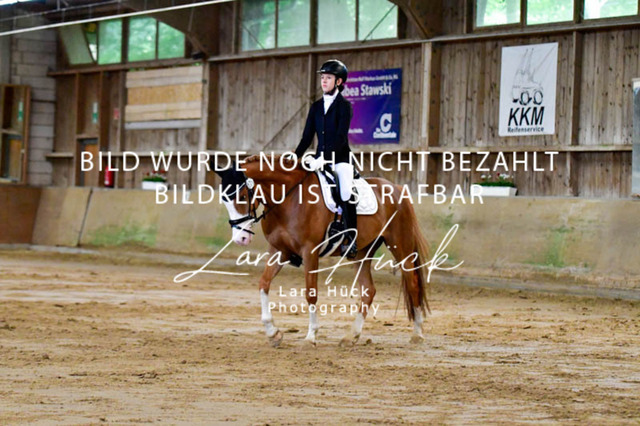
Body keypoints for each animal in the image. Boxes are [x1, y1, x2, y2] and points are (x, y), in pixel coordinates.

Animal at [215, 155, 430, 347]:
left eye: (242, 196)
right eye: (224, 201)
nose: (241, 238)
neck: (289, 199)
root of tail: (397, 188)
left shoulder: (310, 251)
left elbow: (311, 293)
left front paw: (310, 337)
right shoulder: (278, 251)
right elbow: (263, 284)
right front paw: (273, 333)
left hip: (400, 245)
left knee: (412, 282)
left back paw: (418, 334)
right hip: (362, 252)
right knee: (369, 290)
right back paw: (351, 336)